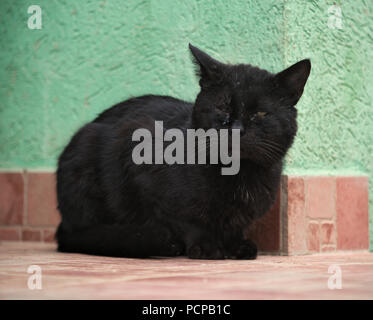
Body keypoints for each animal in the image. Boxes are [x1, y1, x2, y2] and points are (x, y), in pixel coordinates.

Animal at [55, 44, 310, 260]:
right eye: (222, 107)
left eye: (261, 114)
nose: (236, 129)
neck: (238, 175)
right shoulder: (138, 157)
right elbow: (188, 219)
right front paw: (206, 246)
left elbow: (234, 226)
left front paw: (236, 245)